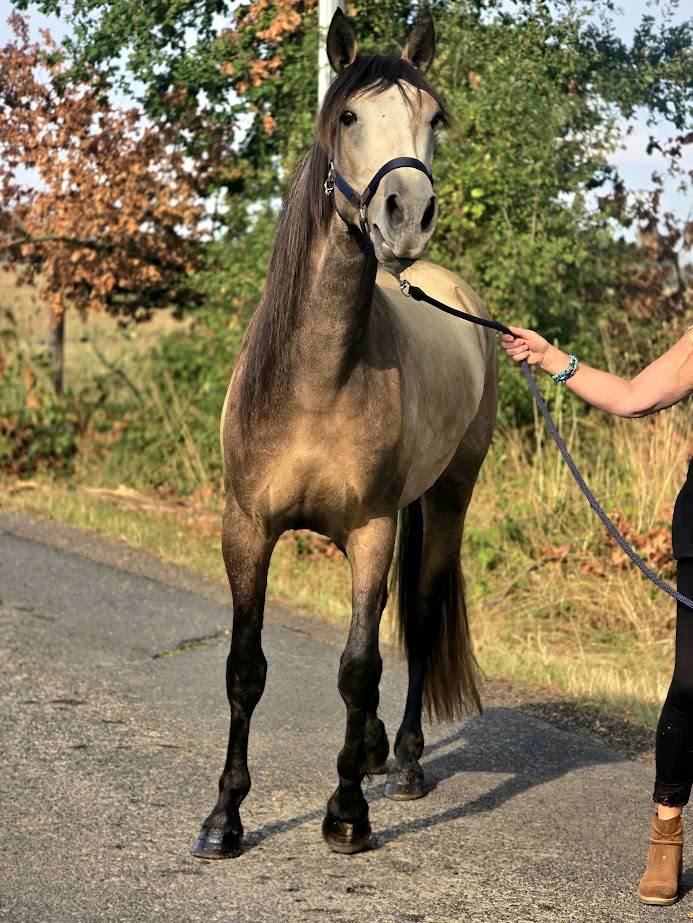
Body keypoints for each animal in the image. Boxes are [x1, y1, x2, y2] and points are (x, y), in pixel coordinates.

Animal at [192, 9, 498, 860]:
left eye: (433, 118)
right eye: (350, 115)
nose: (407, 212)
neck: (317, 379)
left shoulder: (369, 529)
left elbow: (359, 664)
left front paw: (346, 812)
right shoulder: (246, 526)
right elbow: (243, 667)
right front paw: (224, 816)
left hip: (446, 498)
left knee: (418, 621)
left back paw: (403, 762)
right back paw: (368, 749)